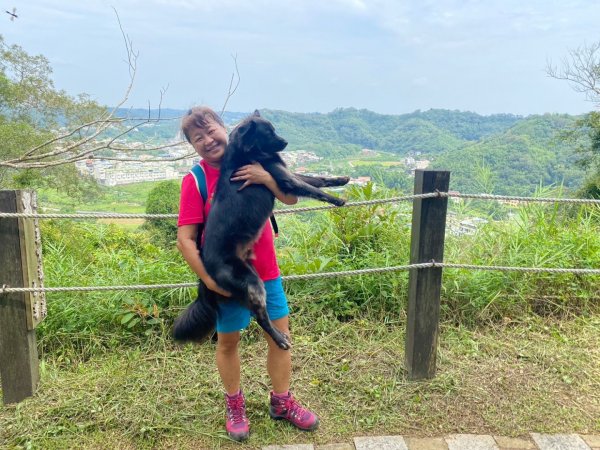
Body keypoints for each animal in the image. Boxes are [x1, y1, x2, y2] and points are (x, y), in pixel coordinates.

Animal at [172, 110, 346, 350]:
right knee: (261, 316)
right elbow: (312, 188)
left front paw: (341, 179)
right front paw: (337, 200)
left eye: (274, 129)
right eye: (268, 133)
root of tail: (204, 272)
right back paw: (280, 339)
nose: (285, 142)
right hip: (252, 284)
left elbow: (317, 179)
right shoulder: (285, 179)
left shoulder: (285, 174)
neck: (245, 153)